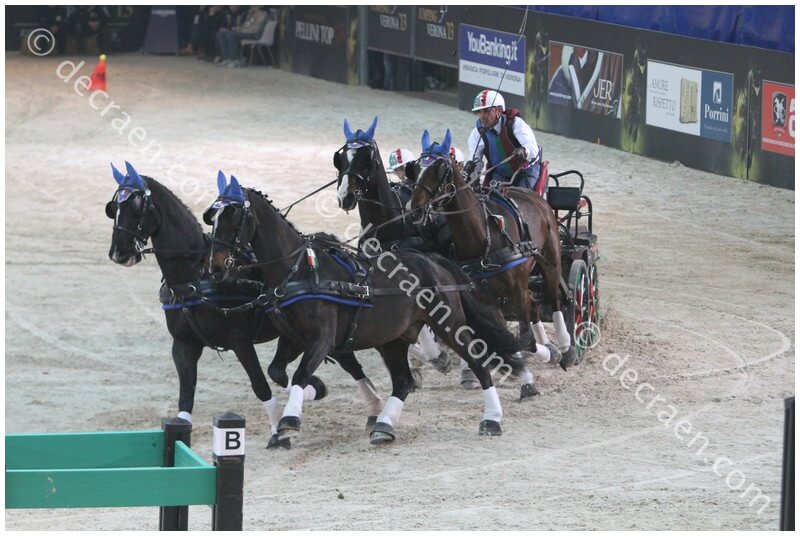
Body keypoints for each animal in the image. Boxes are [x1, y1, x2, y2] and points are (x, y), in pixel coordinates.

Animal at [105, 162, 385, 447]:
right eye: (113, 208)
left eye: (138, 206)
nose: (119, 253)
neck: (194, 276)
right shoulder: (183, 344)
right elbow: (186, 394)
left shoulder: (240, 341)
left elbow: (260, 384)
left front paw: (279, 430)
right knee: (345, 362)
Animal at [207, 176, 529, 444]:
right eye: (213, 218)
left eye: (234, 217)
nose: (215, 267)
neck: (297, 271)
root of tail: (435, 261)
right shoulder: (292, 338)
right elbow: (276, 371)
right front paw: (313, 391)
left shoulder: (321, 339)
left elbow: (299, 374)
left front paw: (290, 419)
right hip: (392, 339)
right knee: (403, 382)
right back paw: (384, 425)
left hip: (449, 325)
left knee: (477, 361)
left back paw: (492, 419)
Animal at [334, 118, 543, 398]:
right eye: (341, 157)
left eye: (366, 158)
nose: (345, 196)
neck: (391, 225)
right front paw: (423, 362)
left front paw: (438, 358)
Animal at [407, 130, 578, 368]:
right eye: (415, 168)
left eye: (437, 169)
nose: (414, 210)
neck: (483, 237)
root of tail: (534, 197)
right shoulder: (485, 297)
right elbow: (507, 336)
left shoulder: (517, 290)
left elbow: (525, 337)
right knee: (535, 302)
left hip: (550, 260)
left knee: (554, 298)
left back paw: (564, 346)